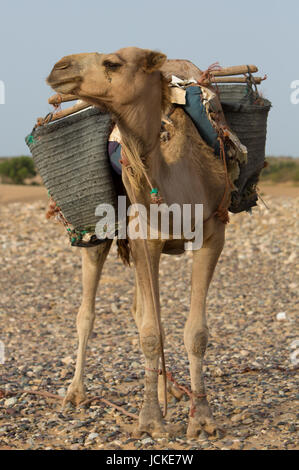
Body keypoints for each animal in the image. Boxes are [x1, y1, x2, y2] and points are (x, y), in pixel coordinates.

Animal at [47, 46, 231, 436]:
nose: (59, 67)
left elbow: (195, 332)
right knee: (88, 313)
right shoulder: (145, 238)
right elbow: (150, 331)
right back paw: (74, 393)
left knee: (140, 309)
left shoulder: (213, 233)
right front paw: (149, 421)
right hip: (100, 236)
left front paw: (202, 419)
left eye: (112, 63)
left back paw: (170, 391)